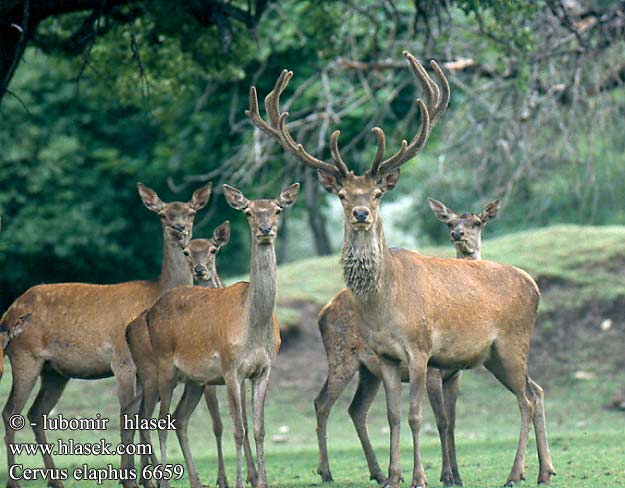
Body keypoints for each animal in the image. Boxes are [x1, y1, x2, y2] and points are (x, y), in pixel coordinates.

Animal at [0, 182, 212, 488]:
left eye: (191, 212)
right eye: (163, 214)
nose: (179, 228)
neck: (155, 292)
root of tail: (7, 314)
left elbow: (141, 415)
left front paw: (145, 478)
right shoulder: (122, 361)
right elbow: (127, 414)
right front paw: (130, 478)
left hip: (55, 371)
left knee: (36, 413)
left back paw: (56, 481)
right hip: (24, 356)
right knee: (10, 412)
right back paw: (14, 481)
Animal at [127, 223, 256, 488]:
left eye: (213, 250)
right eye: (186, 252)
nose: (199, 270)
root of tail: (128, 329)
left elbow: (244, 421)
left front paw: (252, 475)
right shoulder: (211, 380)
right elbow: (217, 424)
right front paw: (222, 478)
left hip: (154, 380)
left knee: (140, 411)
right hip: (150, 374)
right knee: (145, 416)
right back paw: (155, 478)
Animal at [144, 183, 298, 488]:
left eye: (277, 209)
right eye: (248, 211)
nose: (265, 229)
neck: (253, 327)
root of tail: (150, 312)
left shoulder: (264, 369)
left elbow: (259, 428)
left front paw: (261, 481)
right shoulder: (230, 369)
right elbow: (238, 429)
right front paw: (240, 481)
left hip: (194, 379)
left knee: (179, 418)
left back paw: (195, 480)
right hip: (163, 365)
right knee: (161, 421)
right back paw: (164, 481)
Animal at [312, 197, 502, 484]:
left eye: (477, 222)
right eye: (450, 223)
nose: (458, 234)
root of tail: (323, 312)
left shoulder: (454, 375)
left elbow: (453, 421)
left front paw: (456, 476)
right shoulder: (433, 371)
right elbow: (442, 421)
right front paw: (446, 475)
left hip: (370, 372)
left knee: (356, 409)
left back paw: (379, 473)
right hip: (340, 356)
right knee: (322, 403)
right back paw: (326, 471)